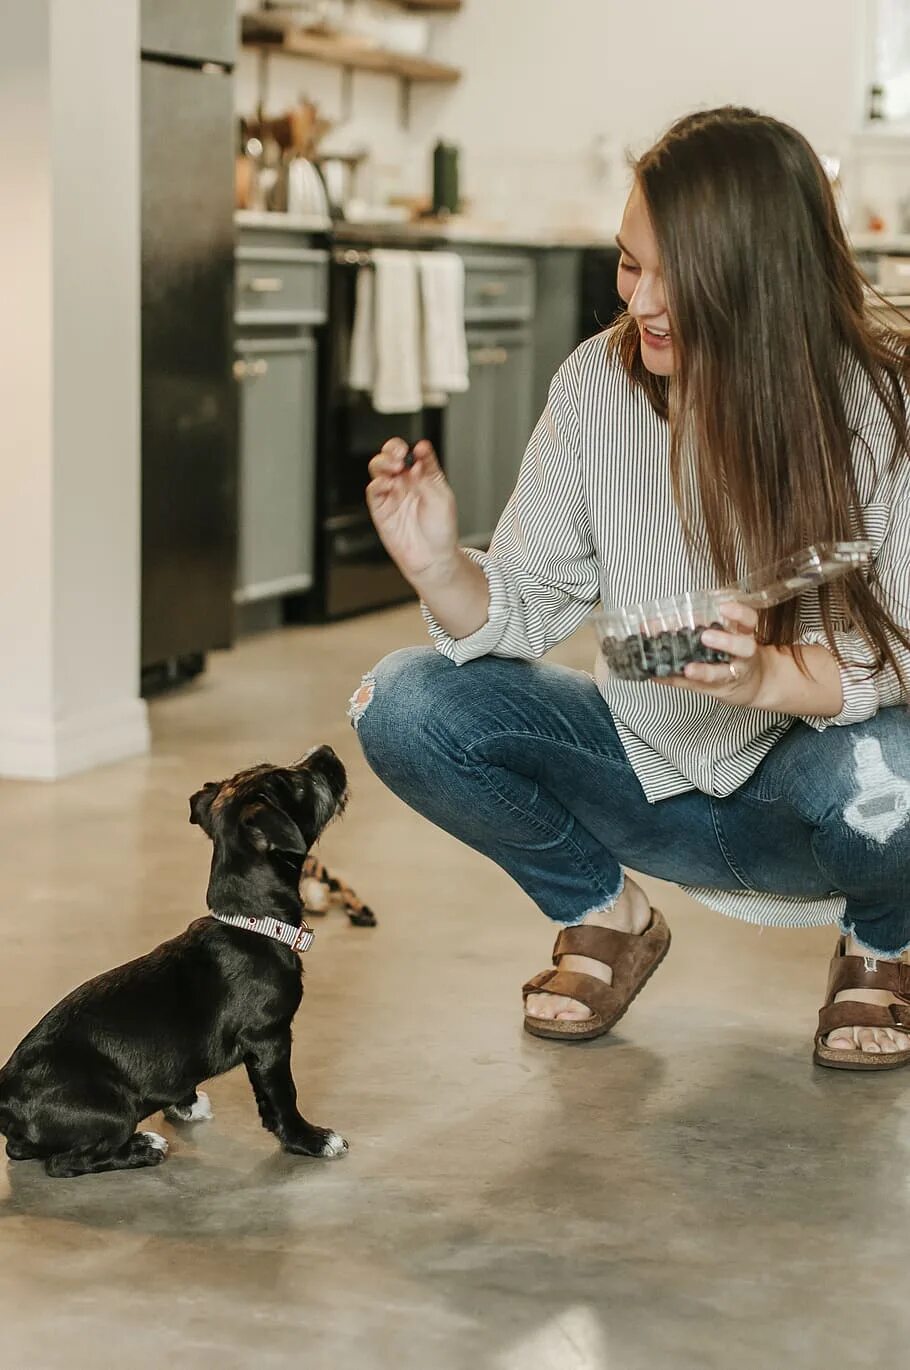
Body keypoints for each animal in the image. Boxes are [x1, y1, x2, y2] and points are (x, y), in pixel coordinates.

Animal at [0, 750, 348, 1178]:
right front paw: (310, 1139)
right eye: (299, 784)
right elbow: (282, 1095)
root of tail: (4, 1098)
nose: (327, 751)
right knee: (65, 1162)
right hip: (114, 1109)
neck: (250, 921)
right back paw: (143, 1148)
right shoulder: (270, 1039)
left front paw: (184, 1103)